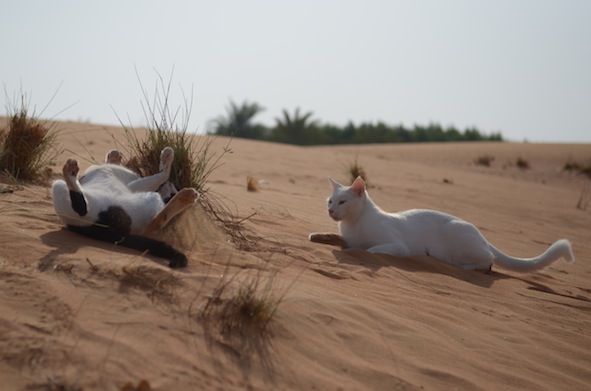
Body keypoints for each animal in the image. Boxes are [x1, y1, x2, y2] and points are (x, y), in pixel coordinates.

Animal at [51, 148, 199, 270]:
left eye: (173, 190)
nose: (171, 185)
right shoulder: (133, 185)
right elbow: (161, 175)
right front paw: (113, 156)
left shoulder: (136, 185)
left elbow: (163, 174)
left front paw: (166, 157)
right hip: (59, 186)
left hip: (147, 202)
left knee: (154, 225)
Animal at [312, 178, 576, 272]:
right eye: (330, 201)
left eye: (343, 202)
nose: (331, 210)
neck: (352, 225)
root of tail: (480, 233)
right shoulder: (346, 236)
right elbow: (339, 240)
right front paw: (318, 236)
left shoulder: (397, 246)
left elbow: (368, 248)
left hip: (458, 237)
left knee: (488, 259)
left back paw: (462, 266)